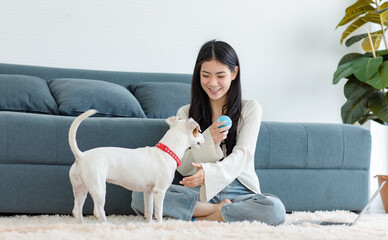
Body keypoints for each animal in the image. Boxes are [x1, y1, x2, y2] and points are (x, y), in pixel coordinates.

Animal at [68, 109, 205, 222]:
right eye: (197, 131)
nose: (204, 137)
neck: (167, 151)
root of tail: (81, 156)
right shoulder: (159, 191)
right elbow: (159, 213)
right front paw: (160, 225)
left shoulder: (148, 192)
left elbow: (149, 211)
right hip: (98, 188)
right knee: (98, 211)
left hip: (80, 189)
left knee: (77, 210)